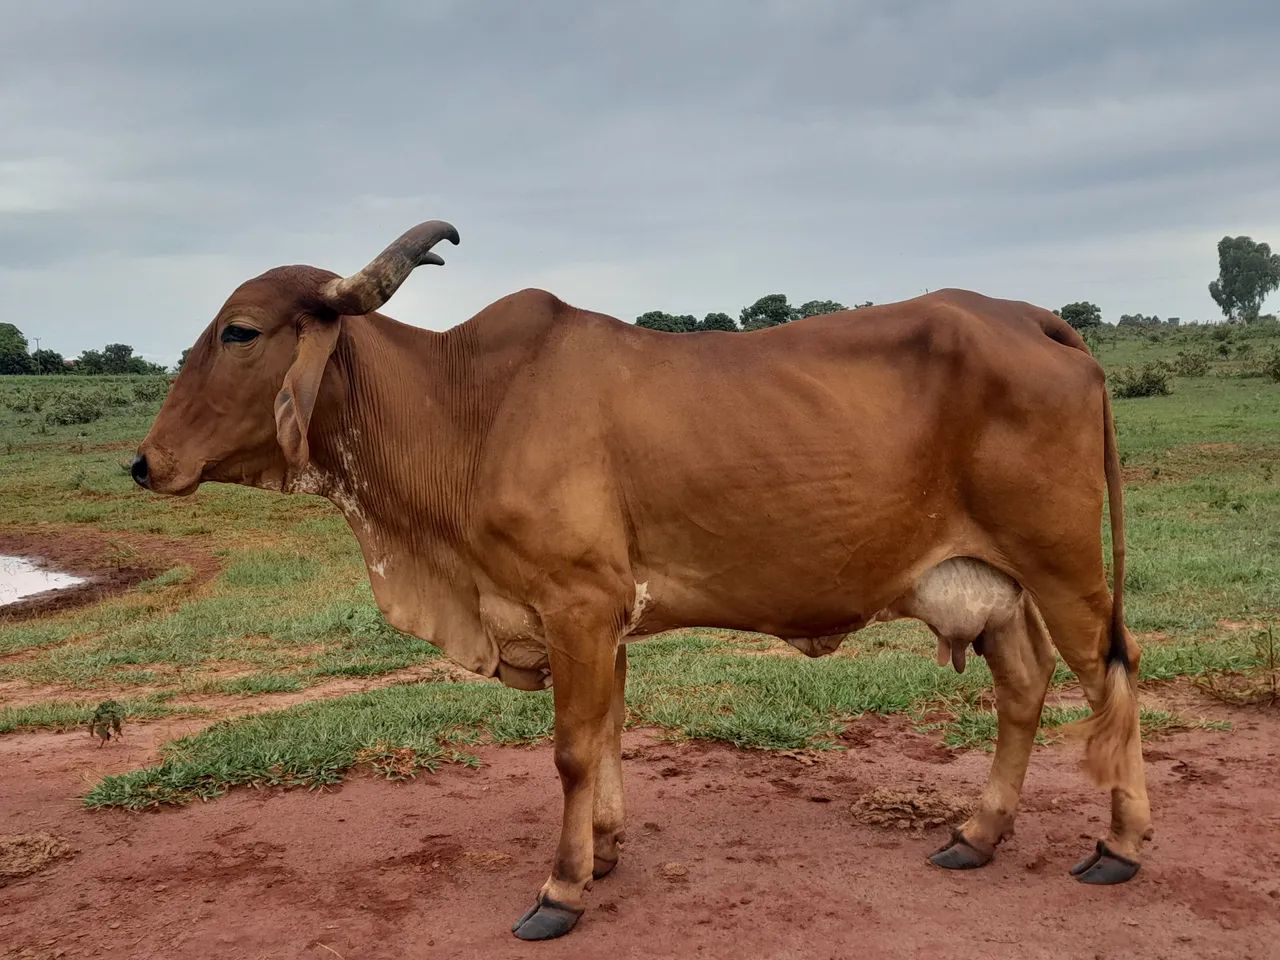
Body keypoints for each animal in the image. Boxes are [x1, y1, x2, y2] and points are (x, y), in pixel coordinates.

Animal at [133, 220, 1151, 941]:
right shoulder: (602, 616)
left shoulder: (577, 604)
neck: (466, 409)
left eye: (240, 331)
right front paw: (606, 851)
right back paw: (978, 834)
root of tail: (1024, 313)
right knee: (1024, 687)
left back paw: (1121, 844)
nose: (145, 463)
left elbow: (574, 751)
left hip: (1064, 567)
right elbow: (611, 735)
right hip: (992, 583)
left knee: (1113, 675)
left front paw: (561, 887)